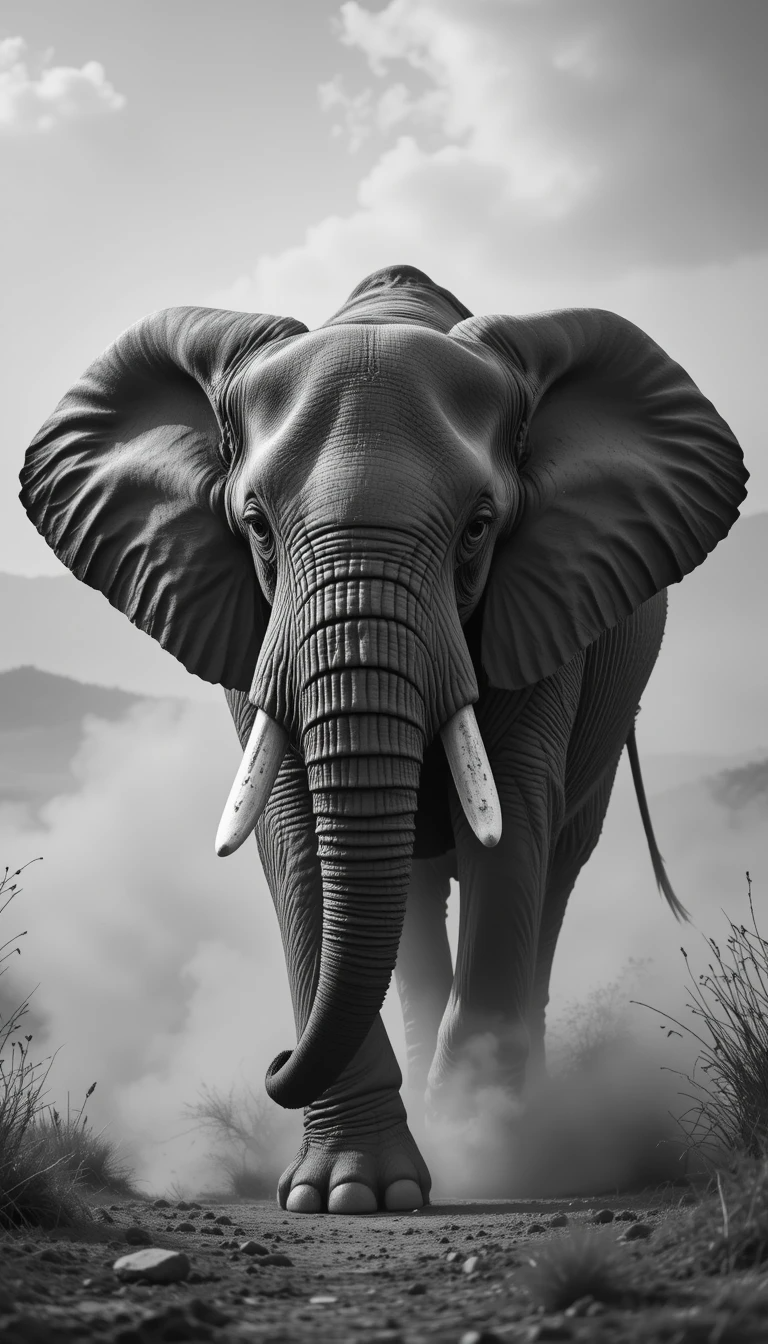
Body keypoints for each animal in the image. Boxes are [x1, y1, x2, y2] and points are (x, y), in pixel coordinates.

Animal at [20, 264, 747, 1214]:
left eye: (479, 527)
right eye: (255, 527)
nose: (274, 1063)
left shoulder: (544, 597)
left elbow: (511, 821)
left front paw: (491, 1158)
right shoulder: (247, 621)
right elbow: (293, 834)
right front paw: (353, 1194)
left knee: (554, 863)